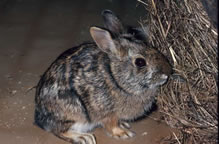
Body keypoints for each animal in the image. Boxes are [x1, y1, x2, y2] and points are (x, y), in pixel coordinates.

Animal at [33, 9, 171, 144]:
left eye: (147, 45)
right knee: (59, 131)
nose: (167, 73)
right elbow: (111, 125)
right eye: (140, 62)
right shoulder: (107, 113)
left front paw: (124, 125)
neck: (115, 77)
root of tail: (40, 118)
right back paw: (84, 138)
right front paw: (123, 133)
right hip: (74, 114)